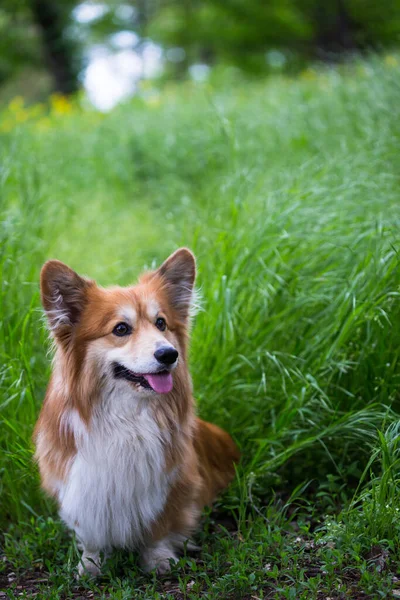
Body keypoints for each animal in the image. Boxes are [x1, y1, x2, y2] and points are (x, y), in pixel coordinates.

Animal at [33, 247, 238, 576]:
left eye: (161, 323)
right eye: (121, 329)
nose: (169, 354)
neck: (126, 417)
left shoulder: (170, 483)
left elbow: (160, 526)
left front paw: (158, 560)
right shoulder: (78, 484)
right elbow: (90, 533)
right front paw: (90, 564)